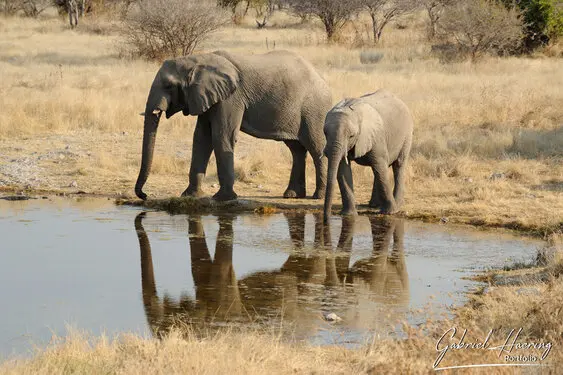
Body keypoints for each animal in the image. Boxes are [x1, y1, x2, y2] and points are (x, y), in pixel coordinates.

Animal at [134, 51, 332, 203]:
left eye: (168, 86)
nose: (145, 196)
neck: (197, 59)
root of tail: (322, 79)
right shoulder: (207, 97)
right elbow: (201, 139)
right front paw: (189, 196)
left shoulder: (230, 98)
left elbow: (221, 136)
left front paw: (223, 198)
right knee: (296, 149)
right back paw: (292, 195)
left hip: (314, 110)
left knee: (315, 146)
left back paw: (317, 196)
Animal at [322, 89, 414, 222]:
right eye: (325, 133)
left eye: (351, 136)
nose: (326, 220)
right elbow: (343, 170)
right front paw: (348, 215)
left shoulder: (376, 136)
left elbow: (380, 165)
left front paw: (390, 213)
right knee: (378, 169)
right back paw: (374, 205)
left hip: (407, 134)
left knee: (397, 165)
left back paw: (397, 204)